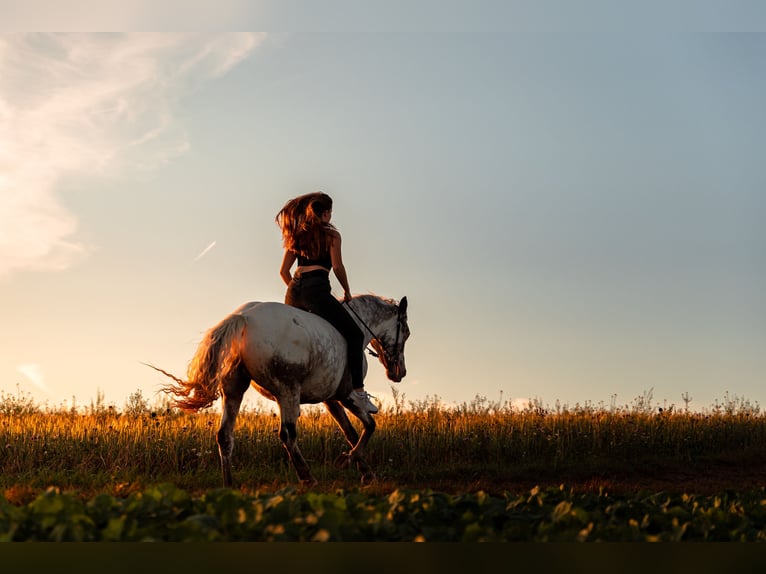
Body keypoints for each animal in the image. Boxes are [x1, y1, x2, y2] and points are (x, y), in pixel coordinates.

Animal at [152, 294, 412, 488]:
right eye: (407, 333)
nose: (399, 372)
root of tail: (244, 317)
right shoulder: (347, 395)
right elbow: (369, 426)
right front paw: (349, 461)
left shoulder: (330, 399)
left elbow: (351, 432)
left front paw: (364, 471)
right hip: (288, 392)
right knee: (287, 435)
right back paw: (307, 478)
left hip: (235, 390)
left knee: (224, 436)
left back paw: (228, 485)